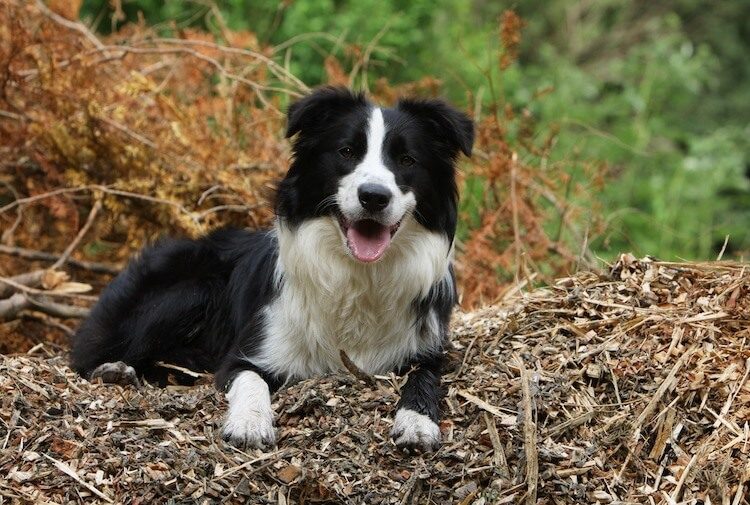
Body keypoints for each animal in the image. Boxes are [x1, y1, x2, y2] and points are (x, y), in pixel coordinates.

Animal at [73, 86, 478, 452]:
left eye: (407, 160)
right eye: (346, 152)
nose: (374, 197)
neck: (357, 275)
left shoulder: (426, 350)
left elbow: (424, 379)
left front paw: (417, 422)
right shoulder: (249, 354)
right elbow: (251, 380)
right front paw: (250, 424)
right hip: (192, 289)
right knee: (91, 354)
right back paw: (116, 371)